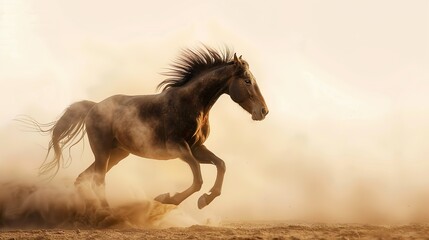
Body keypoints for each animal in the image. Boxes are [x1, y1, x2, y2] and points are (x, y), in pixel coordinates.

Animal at [35, 46, 268, 209]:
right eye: (247, 81)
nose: (264, 111)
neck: (191, 104)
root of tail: (93, 106)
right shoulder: (179, 147)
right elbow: (198, 178)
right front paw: (168, 198)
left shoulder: (196, 148)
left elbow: (221, 165)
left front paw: (205, 200)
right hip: (102, 153)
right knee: (98, 180)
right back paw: (106, 211)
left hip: (117, 154)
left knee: (83, 178)